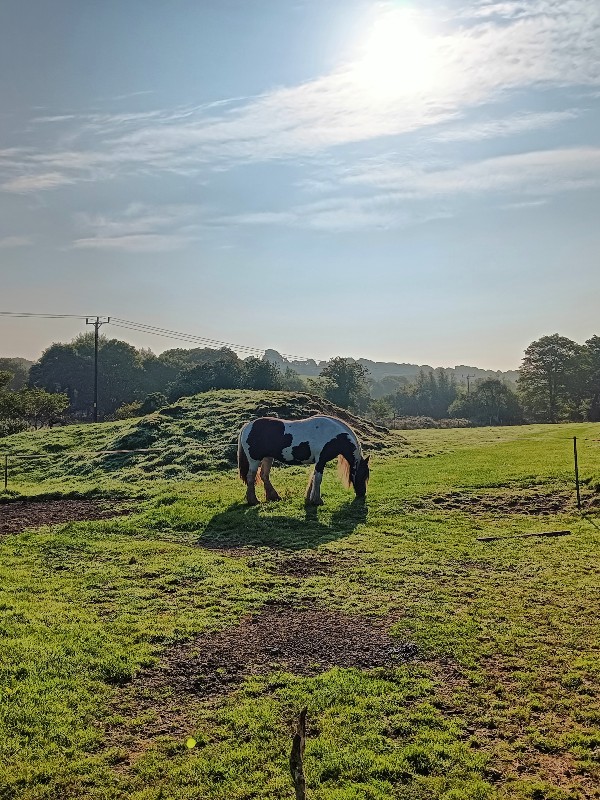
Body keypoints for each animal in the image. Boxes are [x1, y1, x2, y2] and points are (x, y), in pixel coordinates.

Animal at [237, 415, 370, 506]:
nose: (362, 494)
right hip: (254, 460)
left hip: (268, 458)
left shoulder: (318, 461)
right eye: (363, 475)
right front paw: (317, 500)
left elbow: (314, 477)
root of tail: (247, 426)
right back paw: (253, 500)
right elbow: (318, 479)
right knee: (251, 477)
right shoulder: (321, 460)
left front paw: (310, 498)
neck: (334, 435)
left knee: (264, 475)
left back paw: (274, 497)